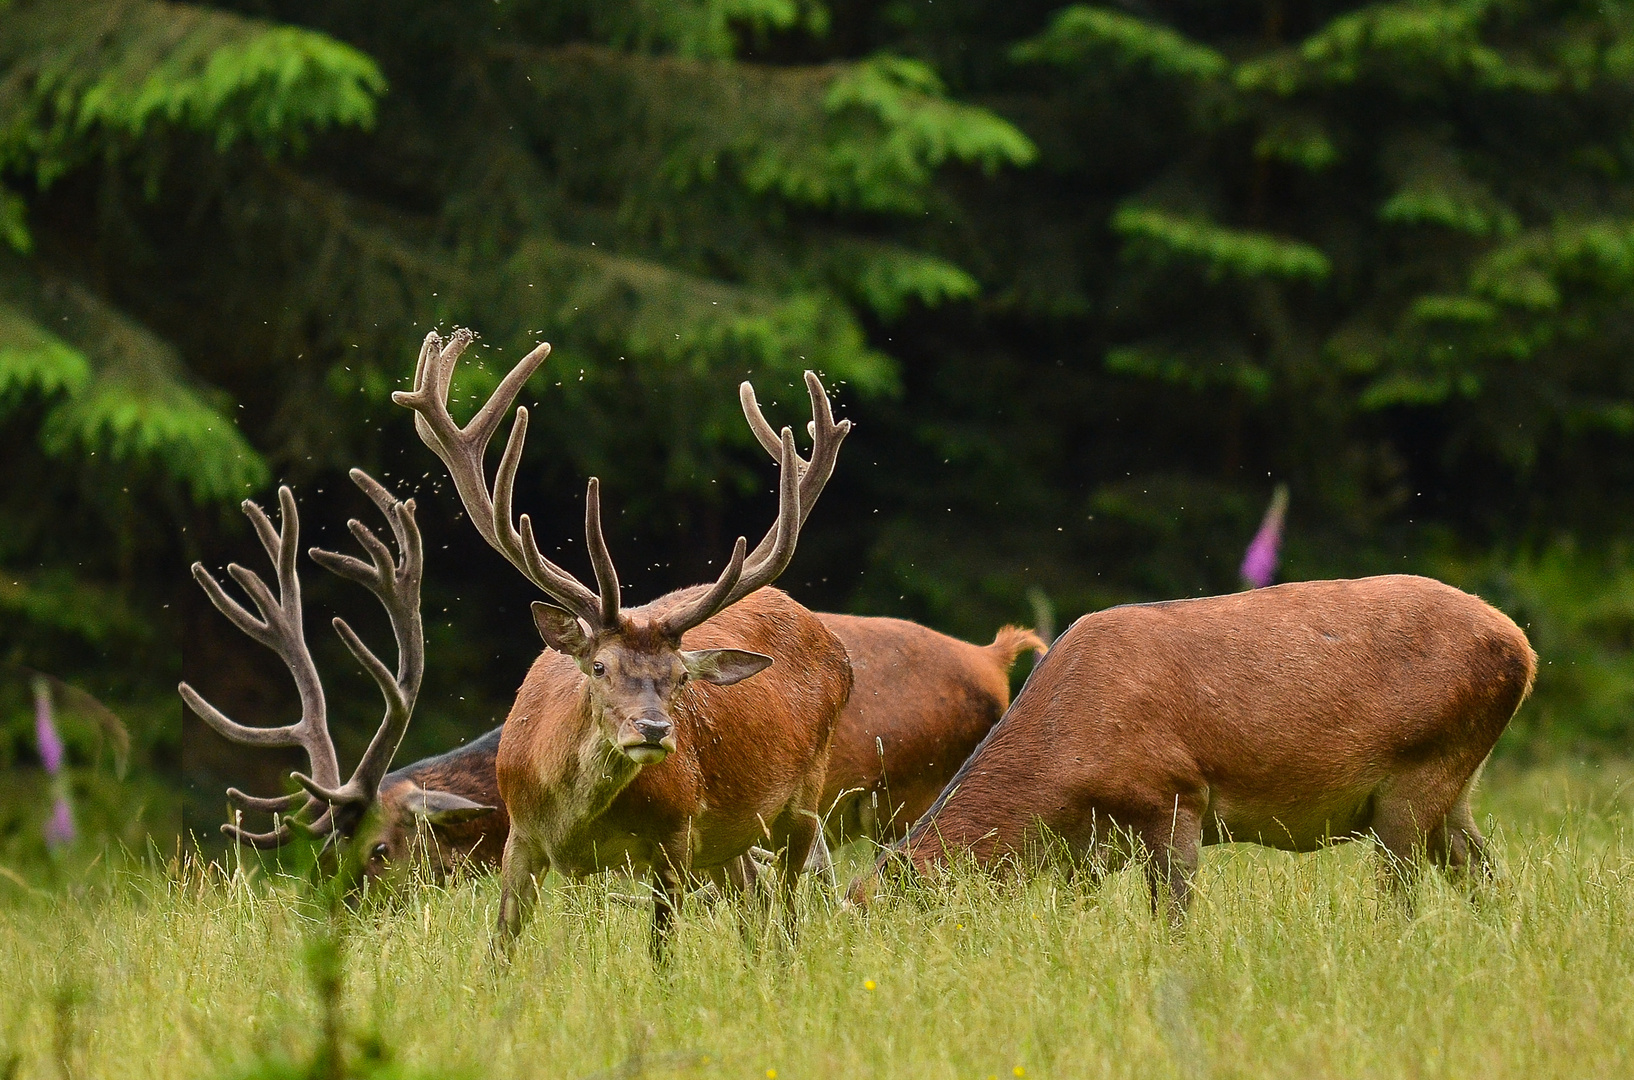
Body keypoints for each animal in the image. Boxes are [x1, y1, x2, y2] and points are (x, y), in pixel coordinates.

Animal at [395, 328, 856, 954]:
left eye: (681, 677)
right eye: (599, 667)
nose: (655, 730)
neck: (574, 823)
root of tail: (831, 640)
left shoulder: (676, 837)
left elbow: (662, 950)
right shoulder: (520, 836)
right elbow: (502, 945)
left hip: (804, 797)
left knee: (786, 907)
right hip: (730, 840)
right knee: (754, 896)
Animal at [849, 571, 1535, 921]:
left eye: (890, 920)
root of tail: (1524, 652)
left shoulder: (1176, 793)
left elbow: (1173, 919)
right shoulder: (1088, 848)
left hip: (1420, 767)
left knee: (1403, 898)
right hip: (1454, 784)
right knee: (1487, 876)